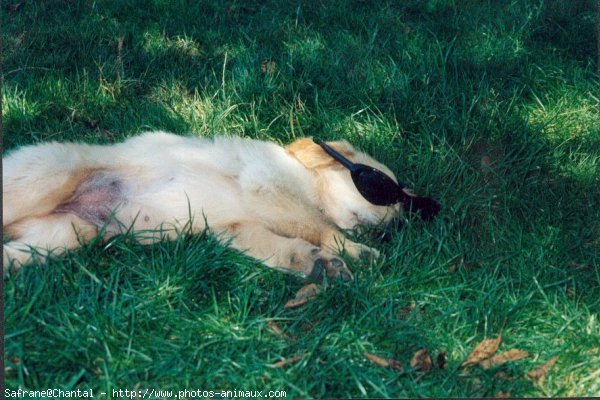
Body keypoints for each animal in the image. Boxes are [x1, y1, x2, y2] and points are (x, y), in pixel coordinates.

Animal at [3, 133, 436, 280]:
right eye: (382, 188)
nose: (397, 223)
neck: (306, 182)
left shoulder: (234, 227)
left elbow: (275, 244)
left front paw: (313, 263)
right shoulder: (266, 185)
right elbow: (318, 226)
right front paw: (355, 252)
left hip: (67, 232)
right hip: (46, 179)